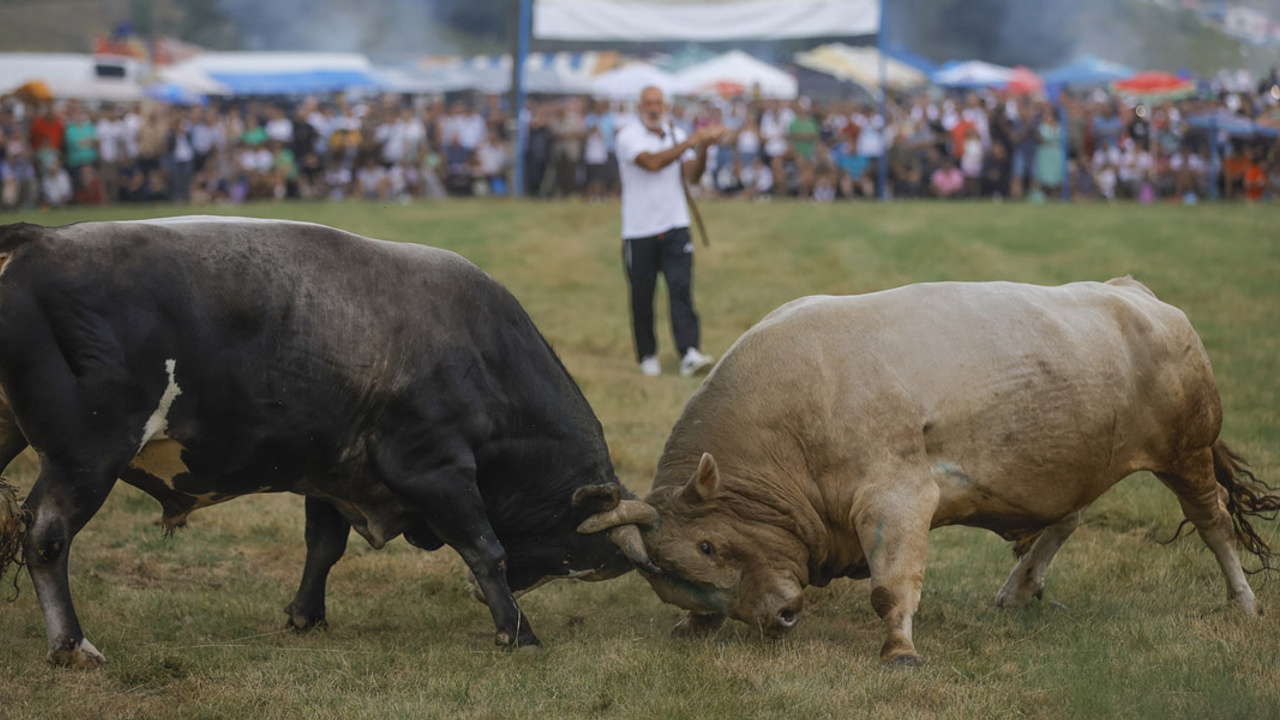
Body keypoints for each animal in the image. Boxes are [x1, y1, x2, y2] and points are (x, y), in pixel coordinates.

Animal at [0, 215, 660, 666]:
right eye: (571, 552)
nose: (490, 601)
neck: (479, 349)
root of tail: (38, 239)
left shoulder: (330, 472)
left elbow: (323, 547)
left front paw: (305, 615)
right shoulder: (437, 467)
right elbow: (484, 548)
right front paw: (517, 631)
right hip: (86, 457)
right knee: (46, 538)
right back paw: (71, 644)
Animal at [616, 274, 1269, 661]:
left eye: (707, 545)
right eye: (679, 581)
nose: (780, 617)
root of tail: (1138, 294)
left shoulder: (896, 497)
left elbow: (891, 585)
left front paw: (899, 650)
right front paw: (696, 626)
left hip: (1186, 452)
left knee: (1214, 524)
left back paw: (1243, 603)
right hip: (1075, 461)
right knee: (1067, 518)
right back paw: (1020, 587)